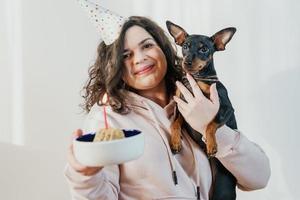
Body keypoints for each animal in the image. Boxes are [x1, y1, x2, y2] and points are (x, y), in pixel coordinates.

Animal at [166, 20, 237, 200]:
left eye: (204, 49)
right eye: (185, 46)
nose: (186, 62)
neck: (196, 79)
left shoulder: (226, 108)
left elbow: (211, 124)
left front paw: (211, 145)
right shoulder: (181, 108)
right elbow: (174, 124)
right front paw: (175, 142)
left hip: (223, 189)